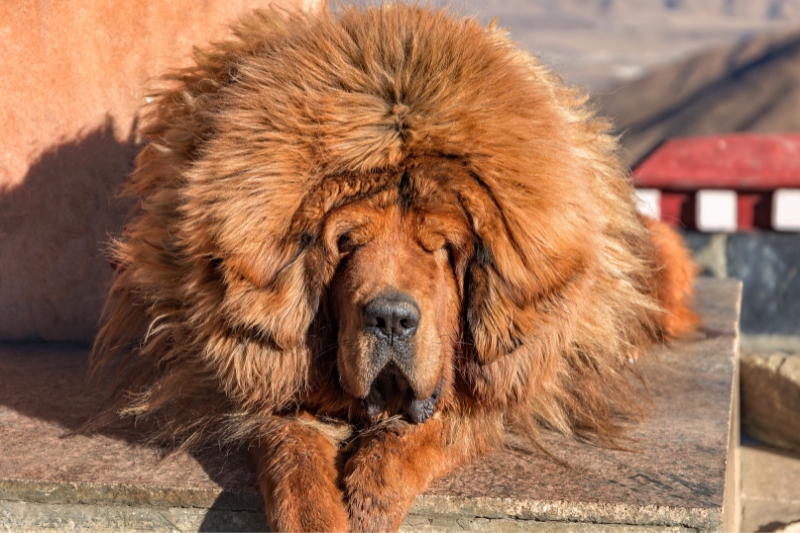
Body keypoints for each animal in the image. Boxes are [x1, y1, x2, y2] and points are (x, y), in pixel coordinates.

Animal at [92, 5, 692, 532]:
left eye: (444, 248)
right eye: (346, 243)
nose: (391, 320)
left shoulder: (500, 382)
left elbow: (431, 432)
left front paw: (370, 496)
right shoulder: (261, 371)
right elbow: (289, 448)